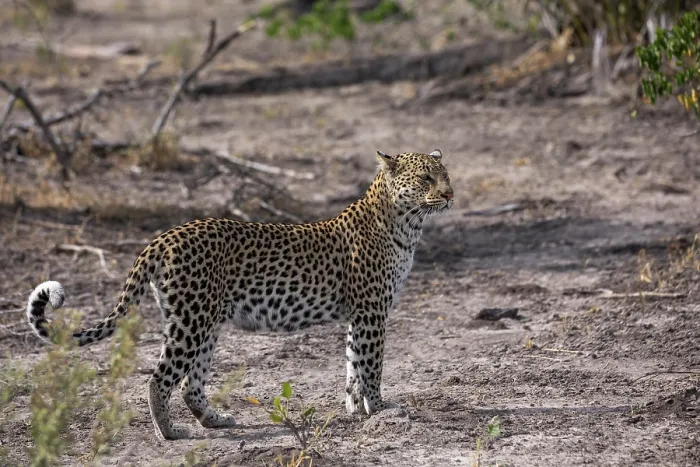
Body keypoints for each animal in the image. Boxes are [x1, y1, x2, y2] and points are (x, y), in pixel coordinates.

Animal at [26, 149, 454, 440]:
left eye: (446, 175)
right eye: (425, 179)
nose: (450, 195)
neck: (406, 225)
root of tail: (164, 237)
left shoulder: (359, 314)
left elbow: (353, 364)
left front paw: (355, 409)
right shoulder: (371, 311)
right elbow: (371, 366)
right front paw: (380, 408)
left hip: (203, 320)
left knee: (190, 383)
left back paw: (215, 420)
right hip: (193, 321)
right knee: (160, 378)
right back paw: (171, 433)